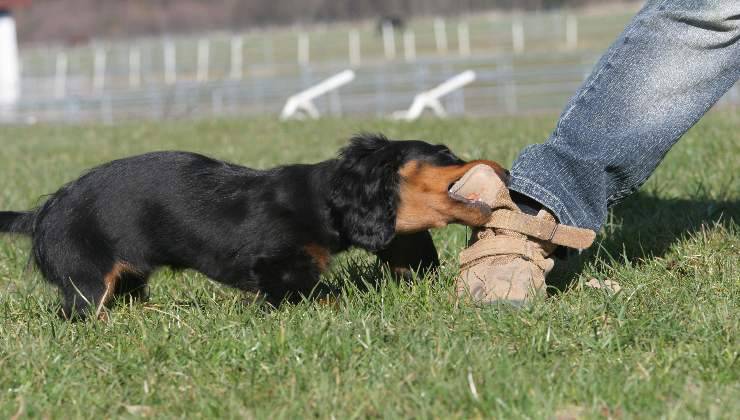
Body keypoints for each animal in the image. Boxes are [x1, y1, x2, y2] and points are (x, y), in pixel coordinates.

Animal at [0, 135, 506, 318]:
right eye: (445, 153)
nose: (502, 166)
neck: (322, 201)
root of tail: (43, 211)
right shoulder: (276, 270)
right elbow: (326, 295)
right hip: (87, 278)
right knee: (79, 315)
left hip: (128, 276)